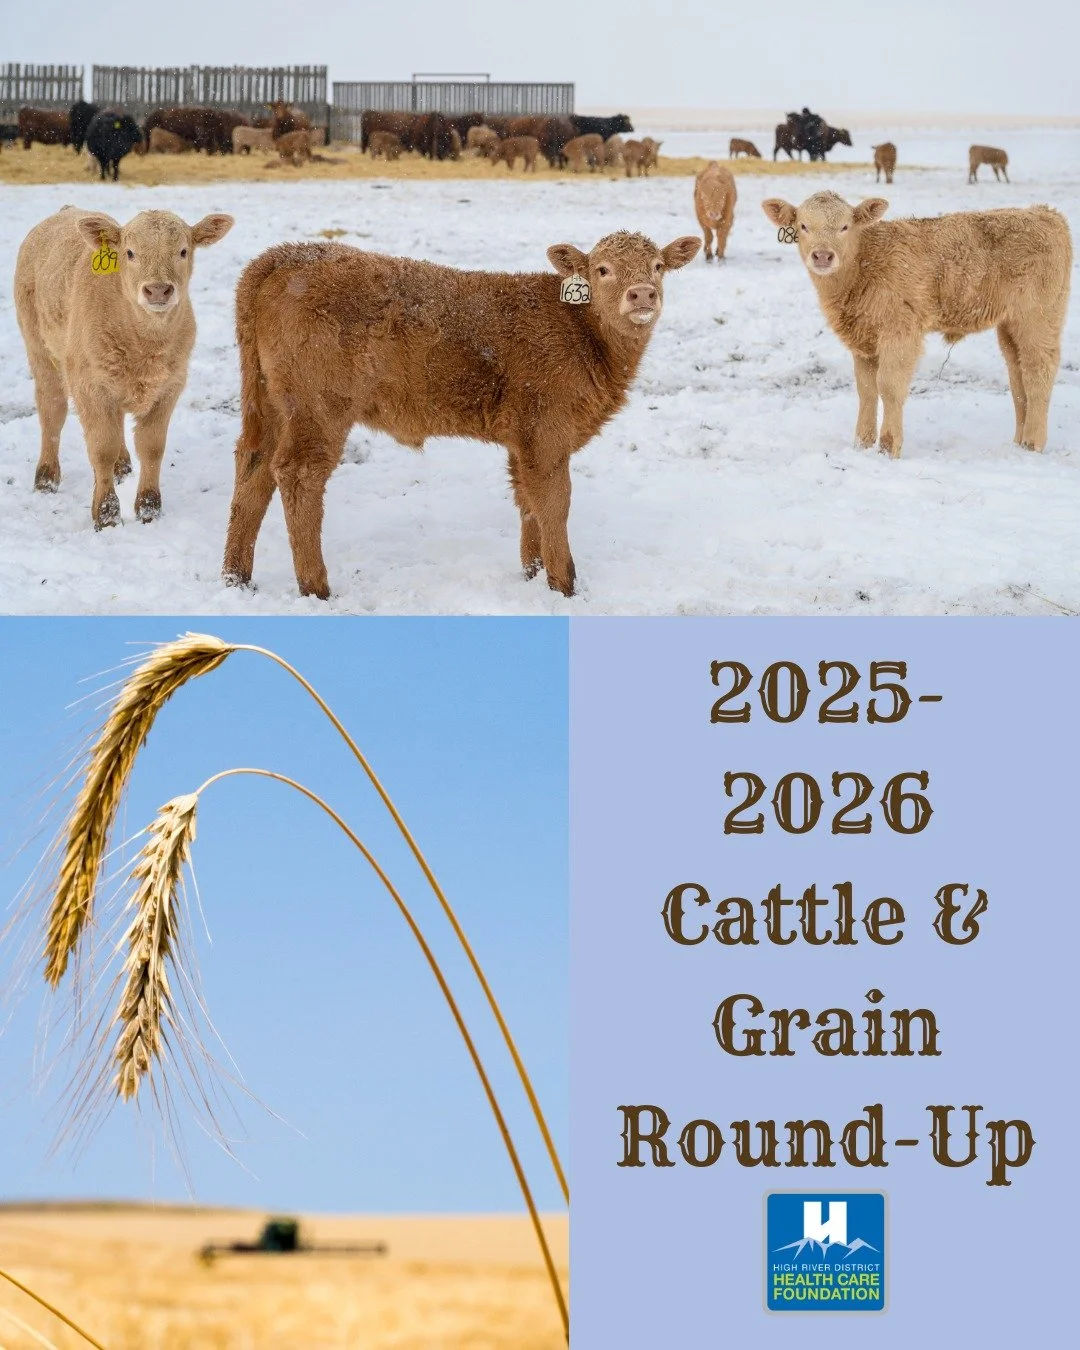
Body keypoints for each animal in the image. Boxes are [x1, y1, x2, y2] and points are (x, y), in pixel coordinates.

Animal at [14, 206, 234, 527]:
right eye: (130, 253)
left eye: (183, 251)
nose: (158, 290)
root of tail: (67, 210)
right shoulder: (89, 385)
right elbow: (101, 448)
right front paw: (106, 513)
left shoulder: (171, 385)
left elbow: (152, 446)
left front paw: (149, 507)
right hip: (38, 348)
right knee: (52, 410)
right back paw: (46, 478)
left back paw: (122, 466)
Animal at [222, 230, 702, 599]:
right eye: (602, 269)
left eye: (659, 266)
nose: (642, 294)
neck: (580, 331)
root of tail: (283, 256)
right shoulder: (547, 432)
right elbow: (555, 502)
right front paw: (564, 584)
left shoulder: (523, 439)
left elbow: (527, 500)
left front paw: (532, 573)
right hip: (318, 408)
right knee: (298, 474)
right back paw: (316, 588)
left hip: (268, 403)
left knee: (253, 467)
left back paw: (236, 577)